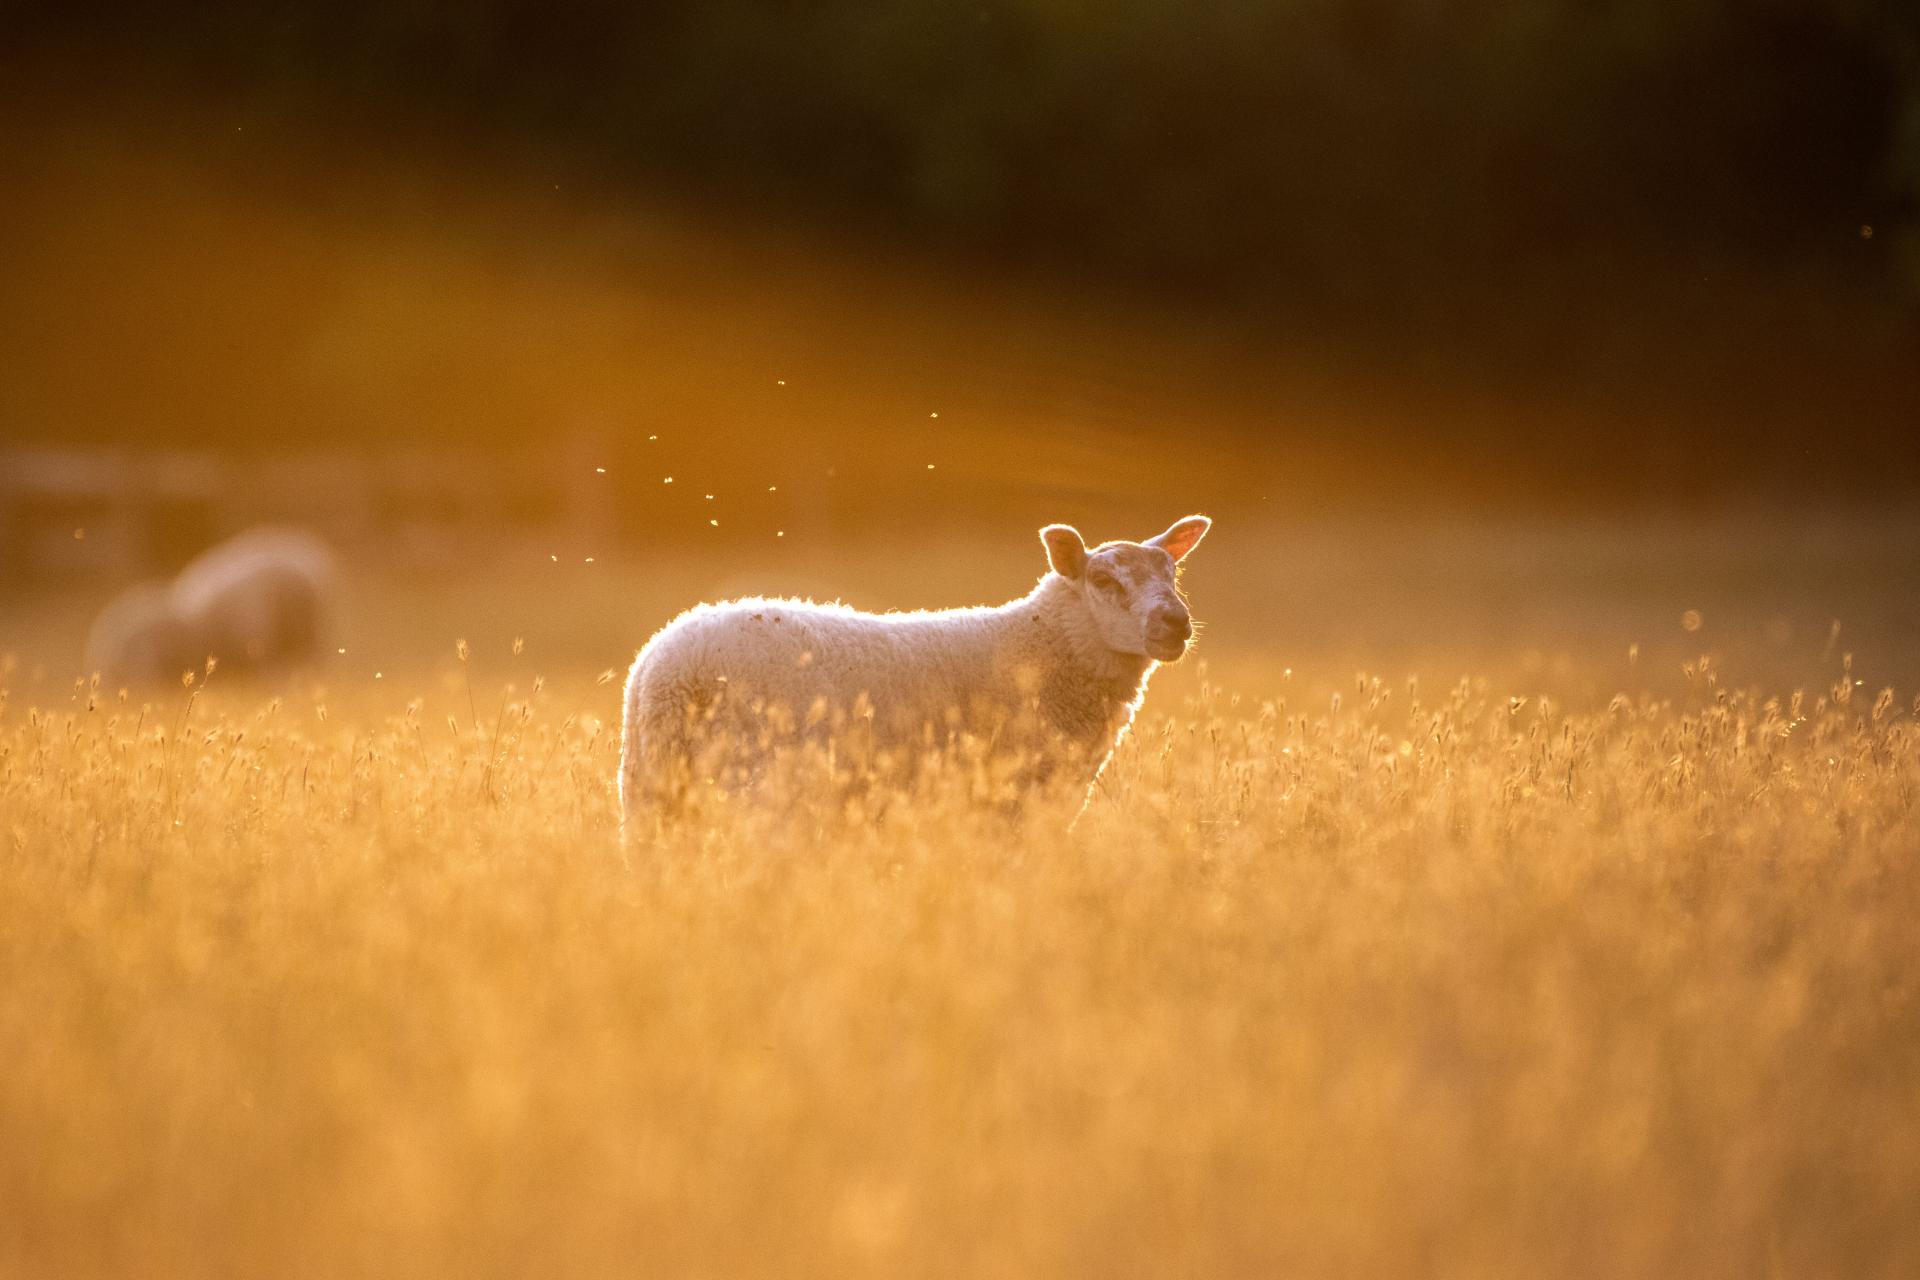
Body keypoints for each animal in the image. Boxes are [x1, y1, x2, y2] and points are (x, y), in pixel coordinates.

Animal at [619, 514, 1211, 824]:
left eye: (1173, 573)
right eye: (1105, 581)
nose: (1175, 621)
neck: (1039, 647)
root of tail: (664, 663)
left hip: (651, 794)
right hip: (751, 786)